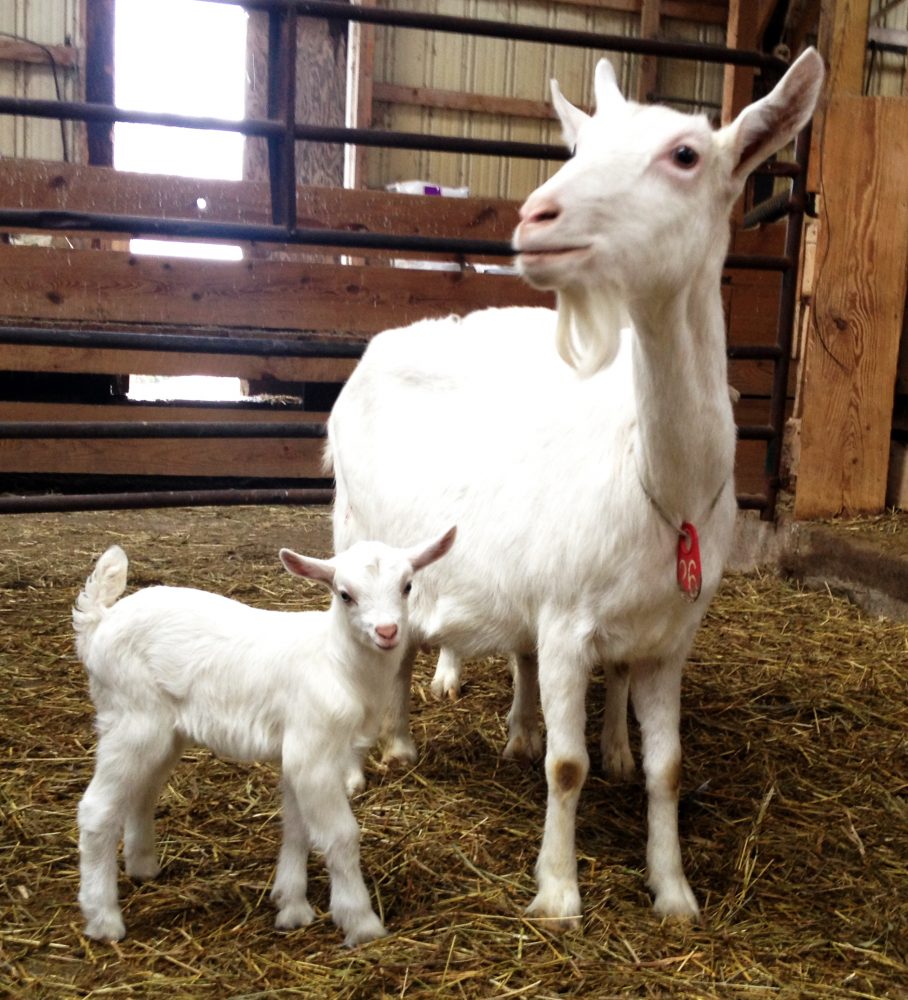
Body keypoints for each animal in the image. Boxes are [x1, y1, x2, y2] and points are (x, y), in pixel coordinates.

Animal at [72, 528, 455, 945]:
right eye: (344, 594)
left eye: (407, 586)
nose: (387, 632)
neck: (338, 663)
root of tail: (100, 621)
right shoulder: (313, 750)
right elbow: (341, 835)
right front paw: (360, 922)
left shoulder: (300, 752)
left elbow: (297, 828)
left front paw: (292, 906)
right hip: (132, 718)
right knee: (97, 808)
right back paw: (103, 919)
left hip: (164, 730)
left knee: (143, 791)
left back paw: (143, 868)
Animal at [326, 49, 824, 926]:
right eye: (580, 148)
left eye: (685, 154)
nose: (536, 218)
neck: (658, 481)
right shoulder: (563, 621)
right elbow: (567, 767)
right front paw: (558, 890)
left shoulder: (669, 638)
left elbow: (666, 768)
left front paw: (673, 890)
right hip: (355, 530)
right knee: (377, 643)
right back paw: (382, 752)